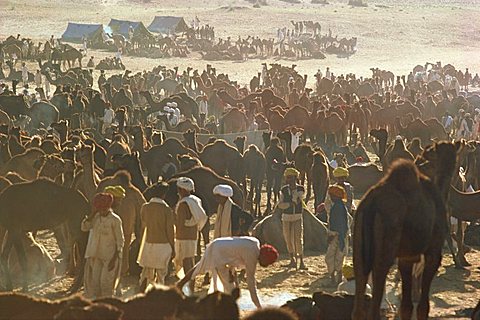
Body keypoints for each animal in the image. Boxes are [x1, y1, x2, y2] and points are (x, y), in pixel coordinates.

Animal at [352, 142, 458, 320]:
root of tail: (371, 204)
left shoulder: (406, 258)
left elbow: (406, 306)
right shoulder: (433, 252)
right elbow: (423, 307)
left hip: (359, 246)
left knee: (359, 288)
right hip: (386, 245)